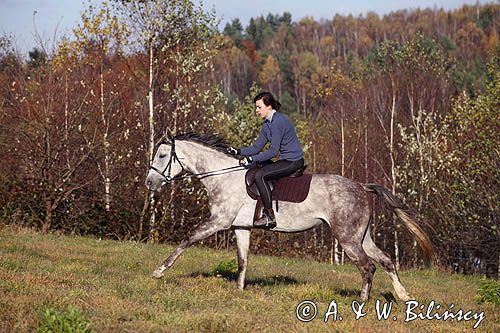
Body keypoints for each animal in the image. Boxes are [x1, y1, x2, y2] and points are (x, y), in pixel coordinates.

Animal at [145, 131, 434, 300]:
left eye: (162, 155)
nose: (149, 182)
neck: (223, 176)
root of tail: (362, 186)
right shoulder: (240, 228)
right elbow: (242, 260)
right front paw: (239, 291)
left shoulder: (219, 221)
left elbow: (188, 239)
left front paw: (159, 271)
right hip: (360, 236)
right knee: (385, 261)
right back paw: (404, 296)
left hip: (347, 239)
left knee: (367, 267)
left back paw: (361, 302)